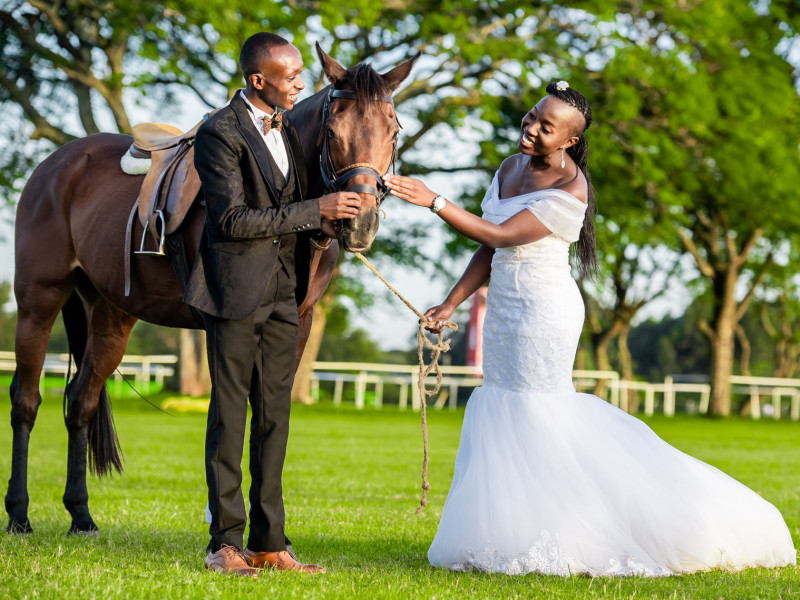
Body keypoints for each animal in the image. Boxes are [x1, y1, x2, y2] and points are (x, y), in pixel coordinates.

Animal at [4, 45, 418, 536]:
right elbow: (227, 417)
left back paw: (81, 515)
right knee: (26, 401)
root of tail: (56, 163)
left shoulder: (296, 324)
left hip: (110, 316)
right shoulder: (226, 326)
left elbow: (268, 417)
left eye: (393, 131)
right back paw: (18, 513)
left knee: (80, 401)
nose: (361, 222)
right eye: (334, 130)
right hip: (39, 300)